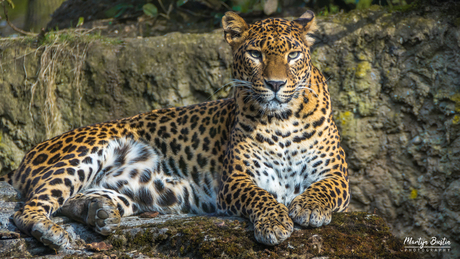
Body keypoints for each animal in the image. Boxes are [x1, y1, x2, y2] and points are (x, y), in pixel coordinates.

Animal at [0, 11, 348, 251]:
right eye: (255, 54)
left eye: (293, 55)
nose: (276, 84)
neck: (282, 119)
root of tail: (26, 157)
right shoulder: (236, 178)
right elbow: (261, 197)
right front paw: (275, 222)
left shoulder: (336, 174)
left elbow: (324, 189)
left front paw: (309, 206)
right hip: (87, 152)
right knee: (26, 211)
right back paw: (53, 233)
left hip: (136, 193)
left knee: (75, 200)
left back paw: (97, 212)